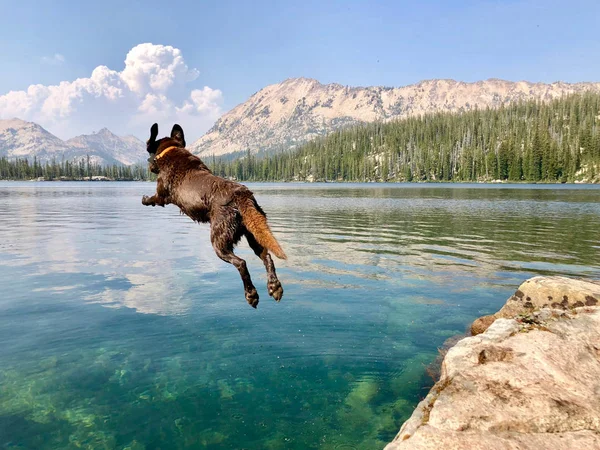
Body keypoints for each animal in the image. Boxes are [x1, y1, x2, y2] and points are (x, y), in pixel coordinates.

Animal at [144, 123, 288, 308]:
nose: (149, 166)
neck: (171, 150)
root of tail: (242, 195)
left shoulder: (162, 195)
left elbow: (152, 199)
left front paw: (144, 199)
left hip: (219, 240)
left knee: (241, 263)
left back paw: (251, 294)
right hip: (253, 231)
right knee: (267, 257)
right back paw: (274, 287)